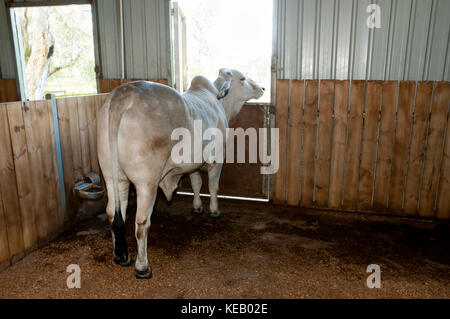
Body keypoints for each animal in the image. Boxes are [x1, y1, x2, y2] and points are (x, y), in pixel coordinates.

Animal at [96, 69, 264, 278]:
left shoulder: (193, 165)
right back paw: (142, 267)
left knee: (114, 213)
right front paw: (214, 210)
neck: (219, 101)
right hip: (146, 183)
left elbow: (196, 184)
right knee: (142, 223)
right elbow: (213, 186)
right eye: (242, 78)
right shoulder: (217, 158)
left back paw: (120, 256)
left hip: (113, 177)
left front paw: (197, 207)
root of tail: (122, 94)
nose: (262, 88)